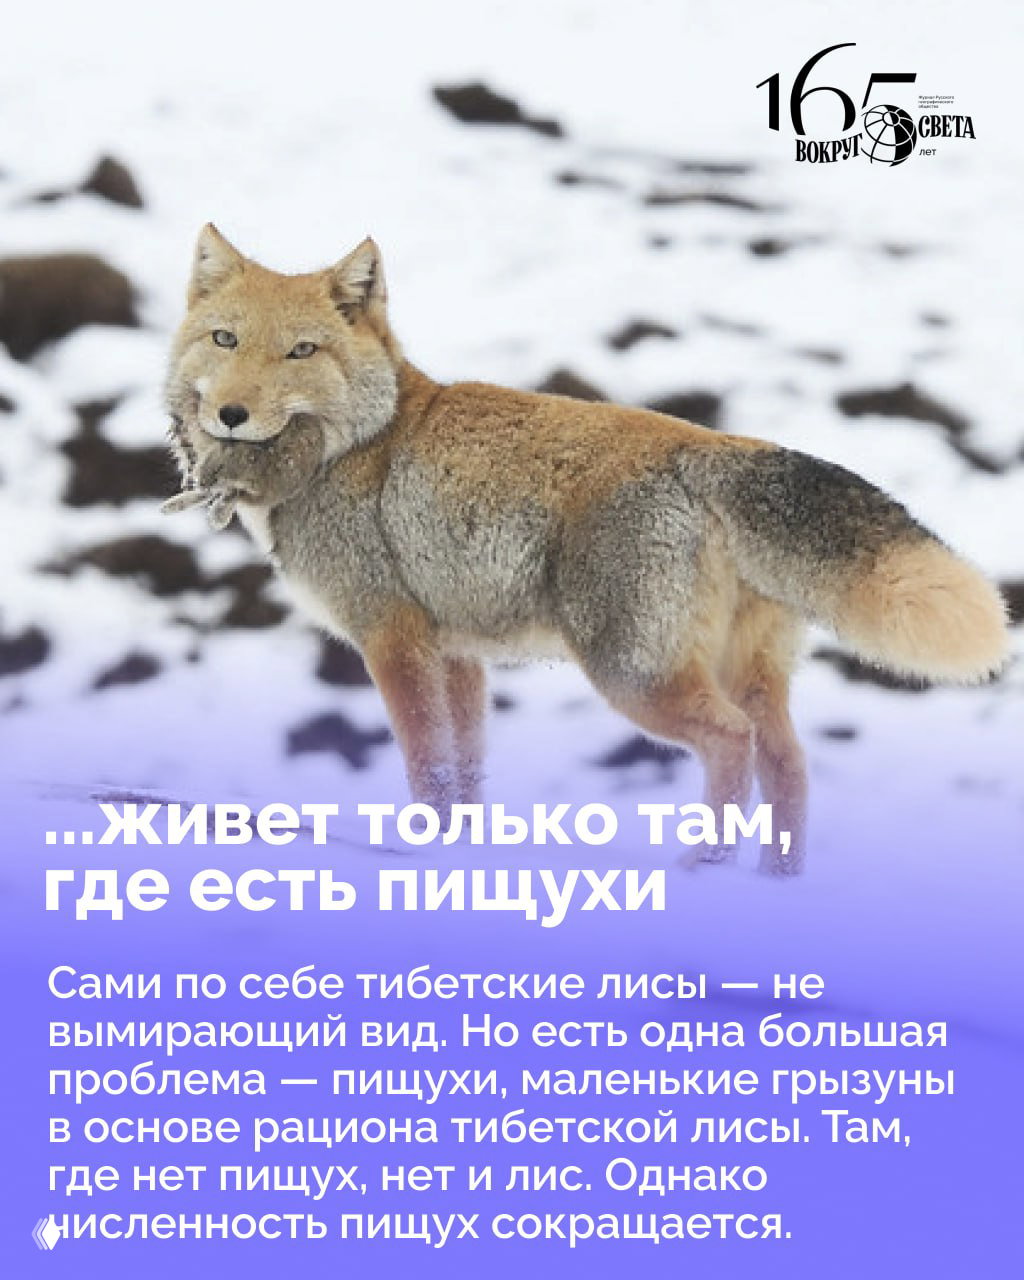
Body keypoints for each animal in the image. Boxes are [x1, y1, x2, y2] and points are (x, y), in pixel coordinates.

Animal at [163, 224, 1009, 873]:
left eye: (301, 352)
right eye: (226, 339)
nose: (232, 414)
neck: (355, 446)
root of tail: (712, 443)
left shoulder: (393, 640)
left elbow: (427, 768)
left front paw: (423, 853)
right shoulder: (457, 654)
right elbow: (466, 774)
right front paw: (461, 855)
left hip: (633, 674)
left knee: (731, 744)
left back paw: (704, 868)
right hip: (743, 676)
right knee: (789, 769)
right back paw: (776, 885)